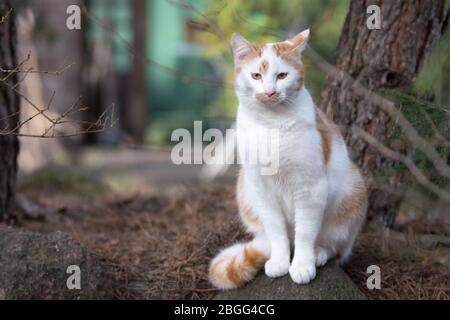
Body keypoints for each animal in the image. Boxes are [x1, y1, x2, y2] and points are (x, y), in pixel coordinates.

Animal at [209, 30, 368, 290]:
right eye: (256, 75)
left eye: (282, 75)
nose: (270, 92)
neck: (271, 124)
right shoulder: (262, 189)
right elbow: (276, 231)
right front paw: (280, 261)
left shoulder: (310, 188)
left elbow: (305, 233)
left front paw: (302, 265)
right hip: (245, 192)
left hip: (352, 196)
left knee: (336, 249)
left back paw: (319, 253)